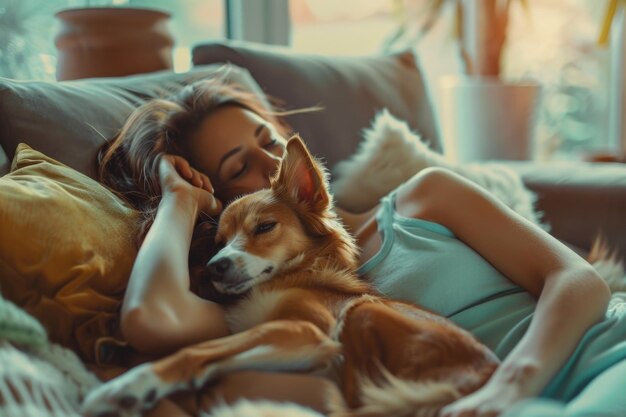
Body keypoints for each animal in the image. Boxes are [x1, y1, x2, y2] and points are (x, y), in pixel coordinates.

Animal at [81, 137, 498, 416]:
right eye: (219, 242)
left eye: (265, 227)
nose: (215, 266)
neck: (292, 277)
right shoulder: (294, 337)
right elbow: (221, 353)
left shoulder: (305, 329)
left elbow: (197, 350)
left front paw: (129, 385)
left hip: (361, 312)